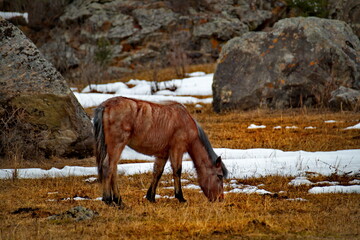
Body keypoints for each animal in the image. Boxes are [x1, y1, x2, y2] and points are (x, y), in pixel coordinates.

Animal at [93, 96, 228, 206]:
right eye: (220, 176)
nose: (220, 198)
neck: (186, 121)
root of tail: (105, 105)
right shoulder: (177, 149)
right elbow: (177, 171)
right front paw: (180, 197)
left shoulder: (163, 154)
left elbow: (157, 172)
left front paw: (151, 197)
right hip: (117, 145)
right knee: (108, 167)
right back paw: (108, 199)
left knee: (113, 169)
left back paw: (118, 200)